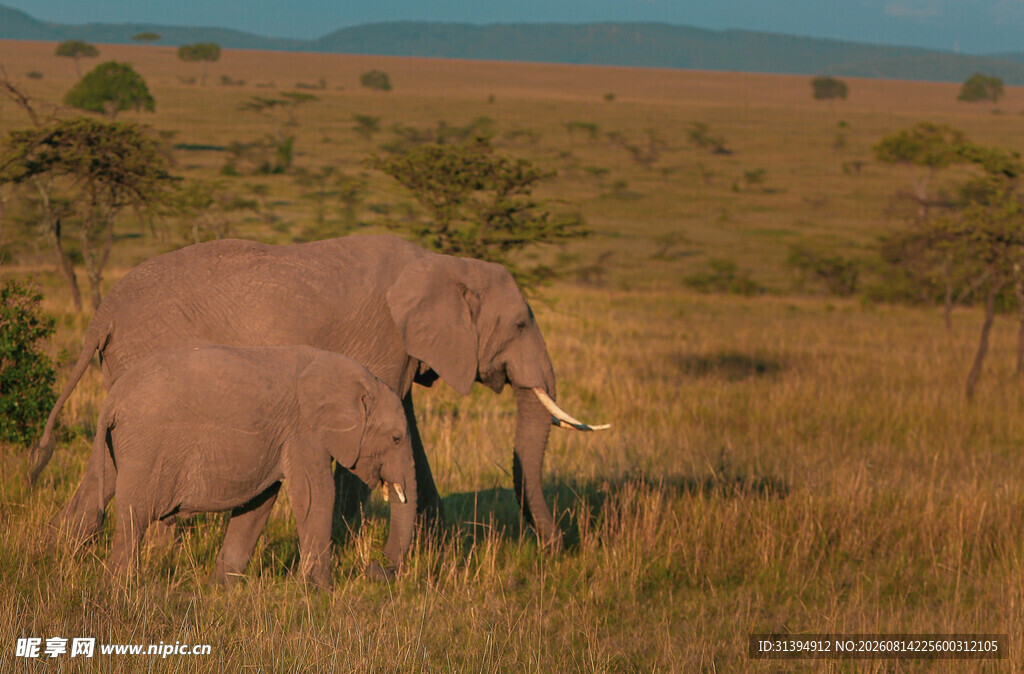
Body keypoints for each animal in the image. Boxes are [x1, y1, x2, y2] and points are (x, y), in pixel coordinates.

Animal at [33, 234, 608, 552]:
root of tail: (104, 311)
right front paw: (357, 547)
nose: (555, 549)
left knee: (104, 472)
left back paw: (62, 553)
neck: (443, 262)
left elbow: (409, 434)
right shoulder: (383, 340)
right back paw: (158, 553)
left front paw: (436, 549)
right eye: (519, 324)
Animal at [57, 344, 417, 586]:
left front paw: (221, 588)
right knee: (134, 516)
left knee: (98, 491)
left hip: (118, 444)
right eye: (397, 438)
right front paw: (320, 591)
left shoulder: (279, 437)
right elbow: (316, 497)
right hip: (145, 445)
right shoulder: (304, 430)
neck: (358, 379)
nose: (375, 568)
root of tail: (113, 400)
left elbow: (259, 502)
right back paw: (119, 586)